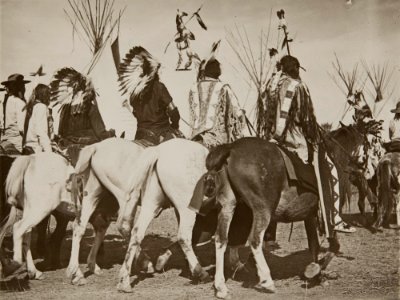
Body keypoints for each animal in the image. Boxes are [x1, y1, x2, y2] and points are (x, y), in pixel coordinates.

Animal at [66, 138, 209, 290]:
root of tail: (96, 147)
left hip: (95, 195)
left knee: (84, 226)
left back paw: (80, 272)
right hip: (127, 198)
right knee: (125, 227)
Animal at [205, 138, 340, 298]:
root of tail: (231, 148)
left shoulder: (310, 215)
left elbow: (314, 244)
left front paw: (316, 273)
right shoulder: (325, 216)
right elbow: (331, 246)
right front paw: (317, 271)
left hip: (228, 206)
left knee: (221, 239)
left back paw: (221, 287)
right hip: (262, 210)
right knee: (255, 240)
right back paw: (267, 281)